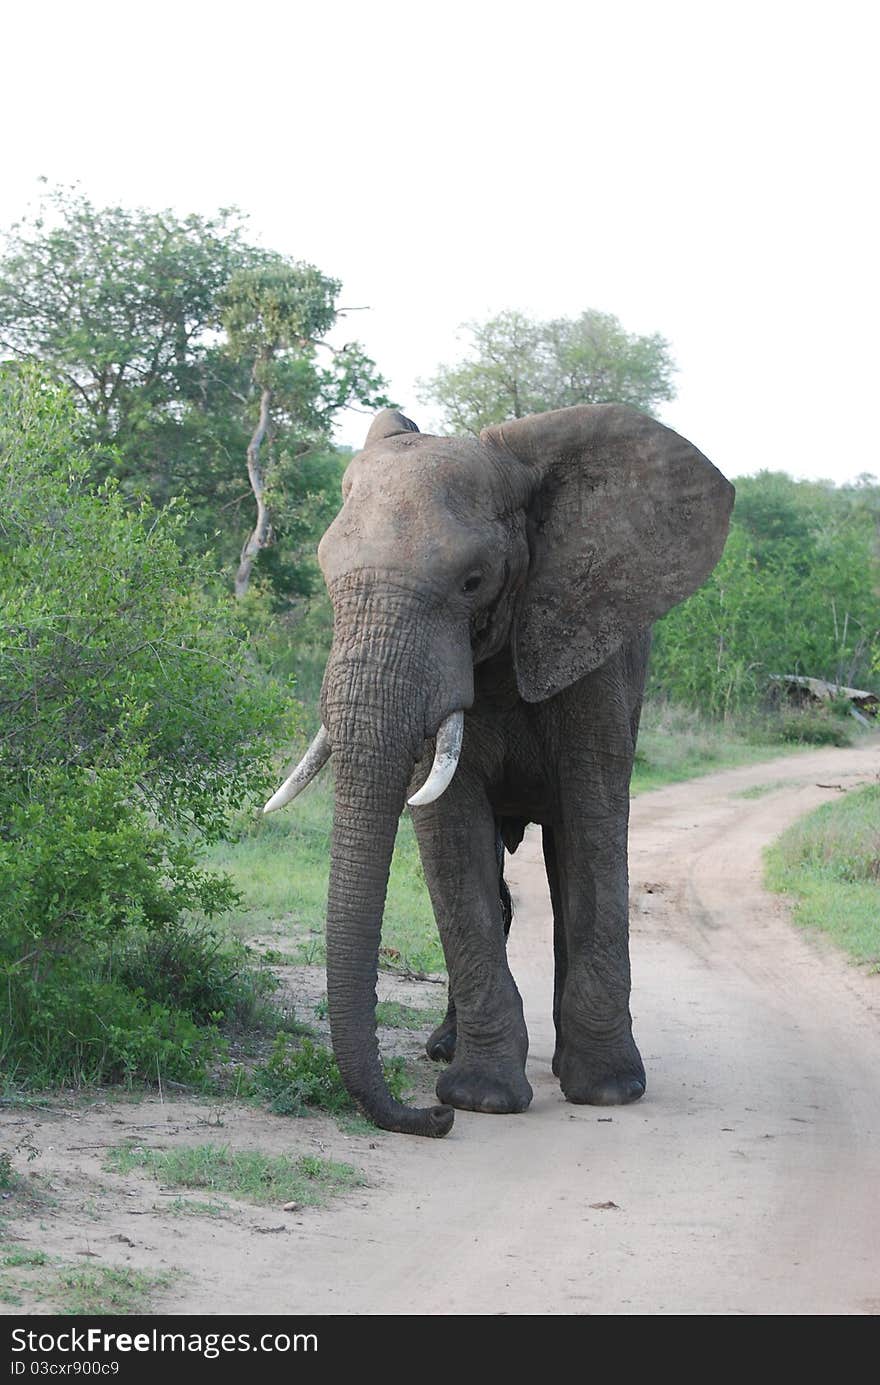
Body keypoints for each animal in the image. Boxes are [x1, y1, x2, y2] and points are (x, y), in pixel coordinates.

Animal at [264, 401, 731, 1135]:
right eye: (325, 574)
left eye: (473, 581)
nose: (429, 1118)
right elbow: (452, 838)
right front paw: (479, 1098)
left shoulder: (594, 650)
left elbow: (595, 823)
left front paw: (608, 1089)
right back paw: (446, 1047)